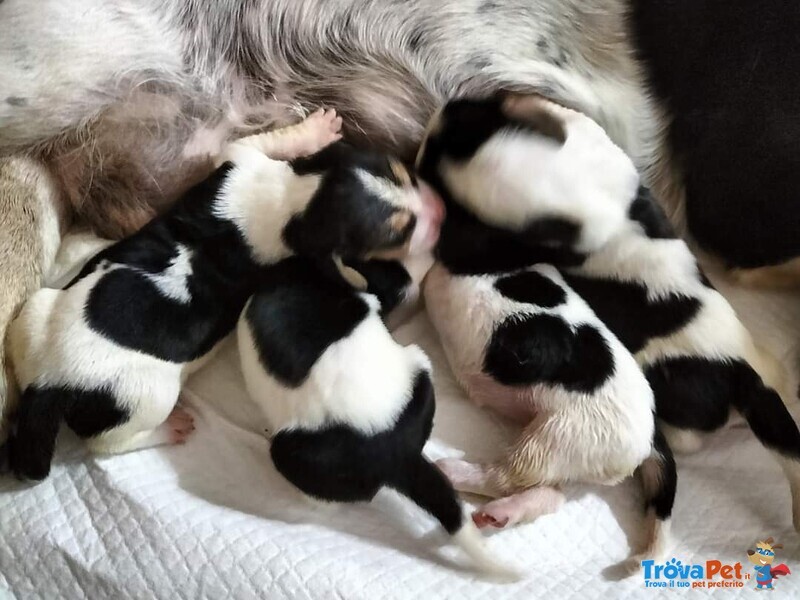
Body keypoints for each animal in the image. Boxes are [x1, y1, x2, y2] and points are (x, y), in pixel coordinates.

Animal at [6, 110, 444, 480]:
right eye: (399, 231)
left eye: (403, 172)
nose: (441, 211)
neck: (297, 200)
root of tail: (47, 385)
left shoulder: (240, 157)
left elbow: (269, 140)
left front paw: (317, 129)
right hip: (144, 396)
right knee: (108, 443)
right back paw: (171, 428)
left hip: (34, 310)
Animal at [418, 96, 676, 564]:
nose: (447, 105)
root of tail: (650, 434)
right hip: (563, 452)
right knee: (548, 493)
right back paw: (503, 514)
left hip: (559, 434)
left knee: (512, 473)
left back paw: (455, 471)